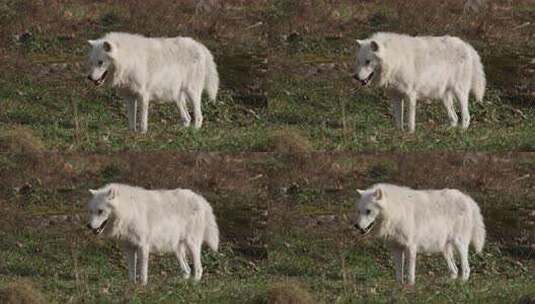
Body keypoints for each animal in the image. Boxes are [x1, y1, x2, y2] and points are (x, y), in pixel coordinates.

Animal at [87, 183, 221, 284]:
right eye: (91, 211)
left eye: (100, 211)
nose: (88, 226)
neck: (129, 211)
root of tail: (200, 198)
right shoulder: (129, 248)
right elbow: (131, 273)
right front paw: (131, 287)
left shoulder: (143, 247)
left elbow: (142, 273)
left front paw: (142, 287)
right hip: (177, 250)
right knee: (187, 270)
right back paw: (180, 284)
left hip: (192, 245)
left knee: (198, 268)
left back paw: (194, 284)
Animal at [88, 32, 220, 132]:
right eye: (92, 62)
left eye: (100, 62)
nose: (89, 77)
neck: (128, 61)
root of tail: (199, 45)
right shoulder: (130, 97)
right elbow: (131, 121)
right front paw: (131, 134)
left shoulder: (143, 96)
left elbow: (142, 121)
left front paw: (142, 134)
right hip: (176, 97)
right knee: (187, 117)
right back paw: (182, 131)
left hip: (192, 92)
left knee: (198, 116)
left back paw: (194, 131)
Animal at [354, 32, 488, 132]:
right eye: (359, 61)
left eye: (368, 61)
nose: (355, 77)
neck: (395, 60)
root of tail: (467, 45)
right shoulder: (396, 96)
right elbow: (398, 120)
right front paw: (399, 134)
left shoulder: (410, 95)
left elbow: (410, 121)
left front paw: (410, 135)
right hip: (444, 97)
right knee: (454, 118)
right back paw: (448, 131)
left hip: (460, 92)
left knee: (466, 116)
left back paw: (461, 131)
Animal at [356, 183, 486, 284]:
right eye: (359, 211)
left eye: (368, 211)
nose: (356, 226)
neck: (396, 211)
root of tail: (467, 198)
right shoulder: (396, 248)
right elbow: (398, 273)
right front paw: (399, 288)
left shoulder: (410, 247)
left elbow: (410, 274)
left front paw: (410, 288)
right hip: (444, 249)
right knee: (454, 270)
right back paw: (448, 283)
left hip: (460, 245)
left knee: (466, 269)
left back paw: (461, 283)